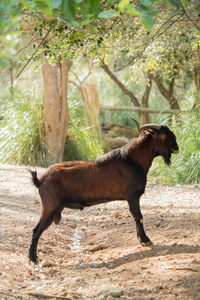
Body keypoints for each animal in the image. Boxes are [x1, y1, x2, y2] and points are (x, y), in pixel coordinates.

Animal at [28, 119, 178, 262]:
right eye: (165, 135)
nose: (177, 147)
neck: (132, 160)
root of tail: (40, 180)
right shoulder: (133, 196)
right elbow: (138, 216)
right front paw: (146, 240)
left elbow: (136, 217)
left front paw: (142, 240)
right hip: (50, 207)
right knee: (36, 230)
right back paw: (33, 258)